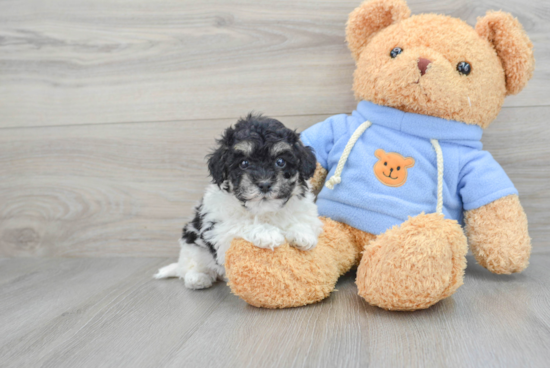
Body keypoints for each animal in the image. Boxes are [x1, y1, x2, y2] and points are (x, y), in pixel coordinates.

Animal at [154, 113, 324, 288]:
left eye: (280, 162)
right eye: (244, 163)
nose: (264, 184)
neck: (264, 210)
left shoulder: (305, 210)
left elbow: (305, 221)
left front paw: (303, 234)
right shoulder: (219, 229)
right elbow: (240, 224)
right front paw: (267, 233)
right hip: (192, 245)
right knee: (190, 265)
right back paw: (198, 277)